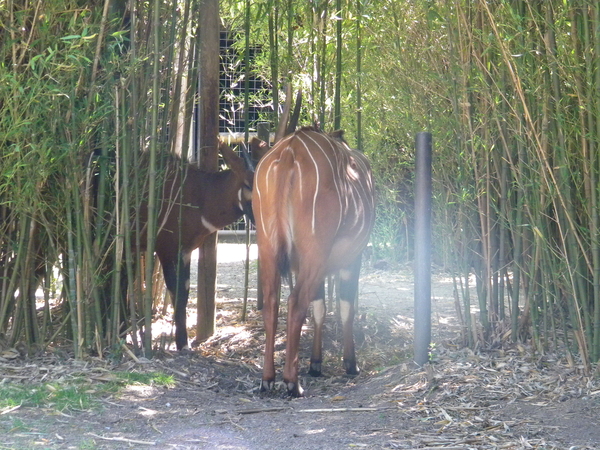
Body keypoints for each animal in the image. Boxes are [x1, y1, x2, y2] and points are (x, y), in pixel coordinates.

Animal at [252, 125, 376, 394]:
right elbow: (345, 307)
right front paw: (350, 364)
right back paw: (292, 383)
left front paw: (316, 364)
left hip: (268, 248)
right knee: (296, 302)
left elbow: (320, 306)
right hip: (315, 251)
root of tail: (290, 152)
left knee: (272, 302)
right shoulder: (353, 259)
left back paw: (268, 379)